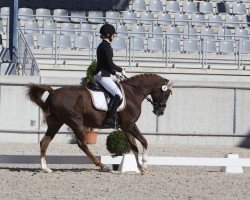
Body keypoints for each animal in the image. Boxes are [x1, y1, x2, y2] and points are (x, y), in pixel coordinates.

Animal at [26, 73, 173, 173]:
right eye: (166, 94)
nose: (160, 111)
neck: (133, 93)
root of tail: (53, 92)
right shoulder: (129, 124)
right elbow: (144, 141)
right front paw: (144, 165)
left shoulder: (126, 127)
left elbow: (134, 146)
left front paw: (139, 168)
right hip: (75, 122)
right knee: (82, 144)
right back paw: (102, 166)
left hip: (56, 123)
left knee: (44, 142)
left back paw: (45, 168)